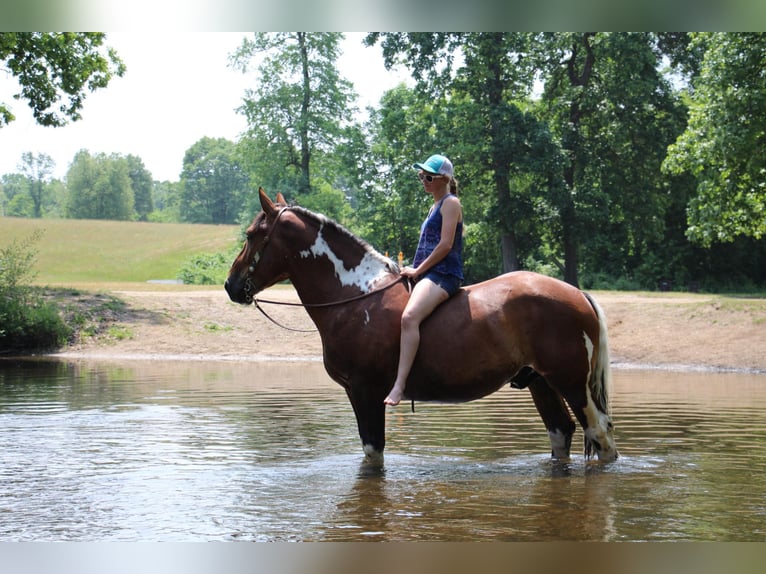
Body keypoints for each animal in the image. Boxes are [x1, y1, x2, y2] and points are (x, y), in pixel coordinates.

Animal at [226, 191, 616, 466]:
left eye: (251, 234)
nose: (231, 285)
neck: (355, 297)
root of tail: (576, 293)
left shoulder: (366, 392)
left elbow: (373, 451)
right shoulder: (357, 393)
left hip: (571, 382)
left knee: (600, 434)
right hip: (541, 383)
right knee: (561, 433)